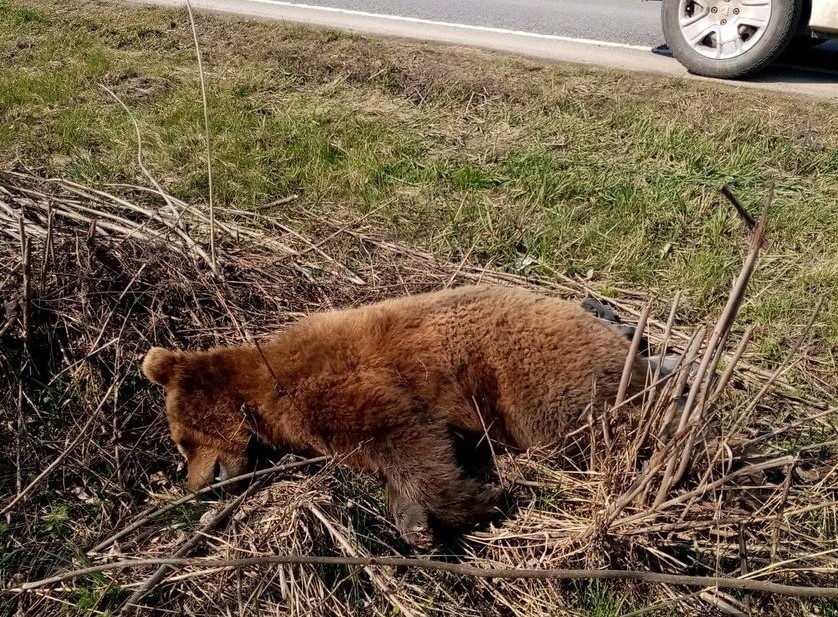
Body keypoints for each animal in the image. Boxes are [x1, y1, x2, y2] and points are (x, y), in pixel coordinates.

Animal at [143, 286, 656, 548]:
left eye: (183, 441)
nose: (194, 485)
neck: (263, 392)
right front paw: (416, 522)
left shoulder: (342, 388)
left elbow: (407, 436)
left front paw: (476, 499)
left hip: (540, 381)